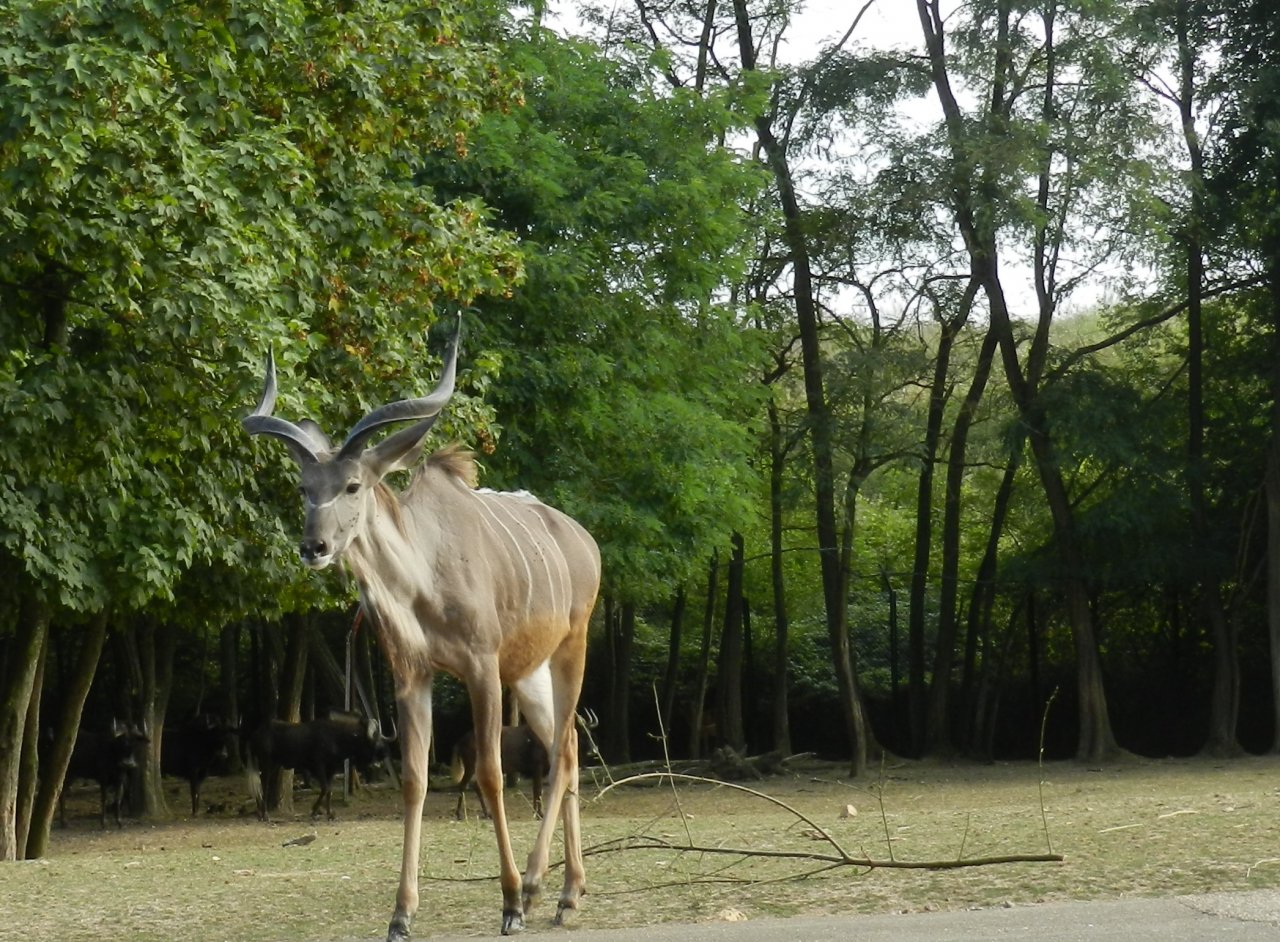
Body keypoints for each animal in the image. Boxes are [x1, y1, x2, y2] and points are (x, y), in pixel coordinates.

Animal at [241, 322, 601, 936]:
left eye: (353, 485)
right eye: (304, 488)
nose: (314, 547)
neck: (422, 576)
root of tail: (586, 542)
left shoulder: (481, 669)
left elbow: (490, 773)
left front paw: (509, 902)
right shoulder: (411, 675)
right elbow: (414, 779)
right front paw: (401, 915)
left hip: (569, 649)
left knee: (562, 753)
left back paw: (534, 887)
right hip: (528, 674)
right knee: (568, 745)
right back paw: (567, 892)